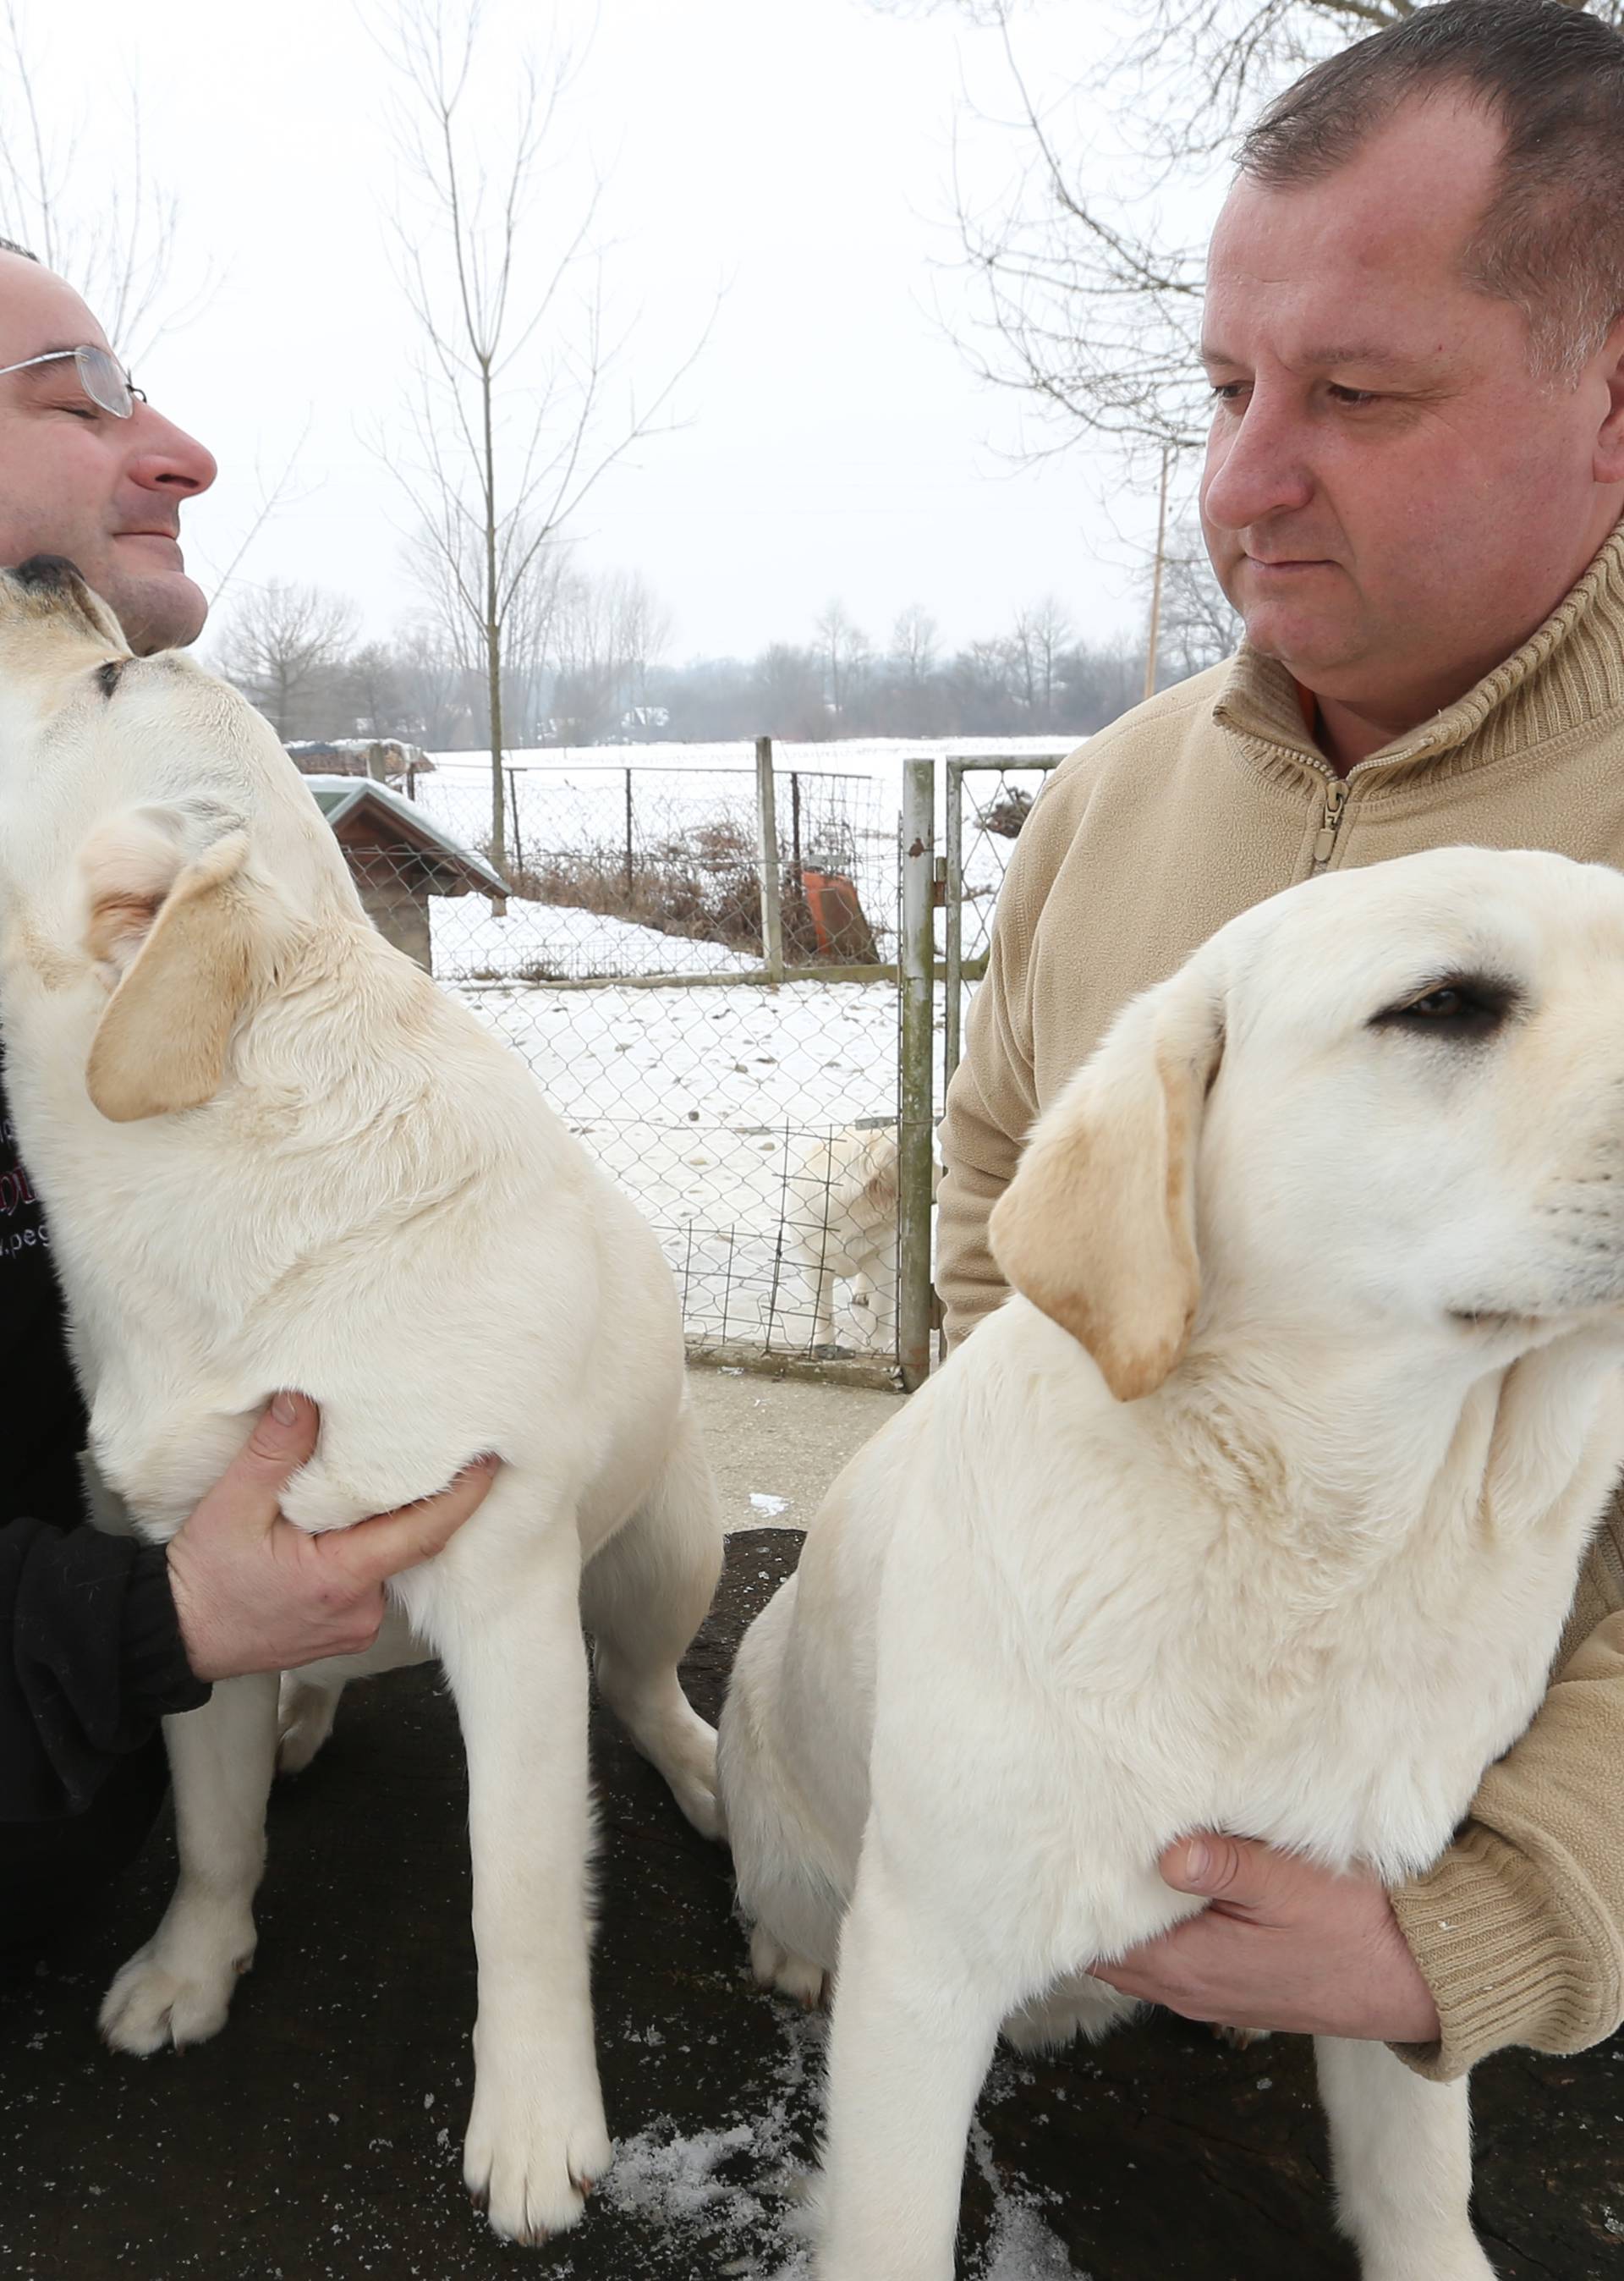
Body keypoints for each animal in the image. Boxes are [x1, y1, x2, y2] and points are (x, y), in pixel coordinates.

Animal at [0, 565, 725, 2244]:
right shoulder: (187, 1578)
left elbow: (518, 1892)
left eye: (112, 676)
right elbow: (212, 1834)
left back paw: (706, 1764)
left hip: (666, 1546)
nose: (38, 570)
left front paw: (534, 2122)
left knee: (648, 1688)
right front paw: (191, 1971)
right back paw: (304, 1717)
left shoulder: (508, 1590)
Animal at [725, 848, 1624, 2281]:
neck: (1323, 1546)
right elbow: (892, 2225)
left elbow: (1420, 2181)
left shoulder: (1382, 1922)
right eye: (1444, 1003)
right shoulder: (924, 1964)